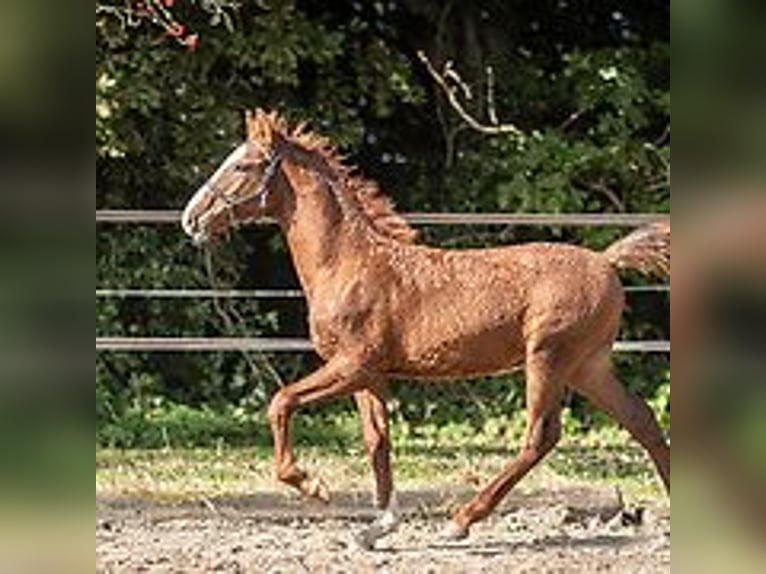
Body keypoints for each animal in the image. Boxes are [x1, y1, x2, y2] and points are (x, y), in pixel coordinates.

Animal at [182, 111, 672, 548]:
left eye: (242, 165)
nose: (191, 218)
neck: (347, 262)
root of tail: (607, 261)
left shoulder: (351, 364)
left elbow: (281, 402)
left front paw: (314, 486)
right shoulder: (369, 375)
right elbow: (377, 441)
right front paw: (377, 528)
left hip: (550, 358)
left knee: (541, 437)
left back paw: (460, 521)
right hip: (588, 366)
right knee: (643, 420)